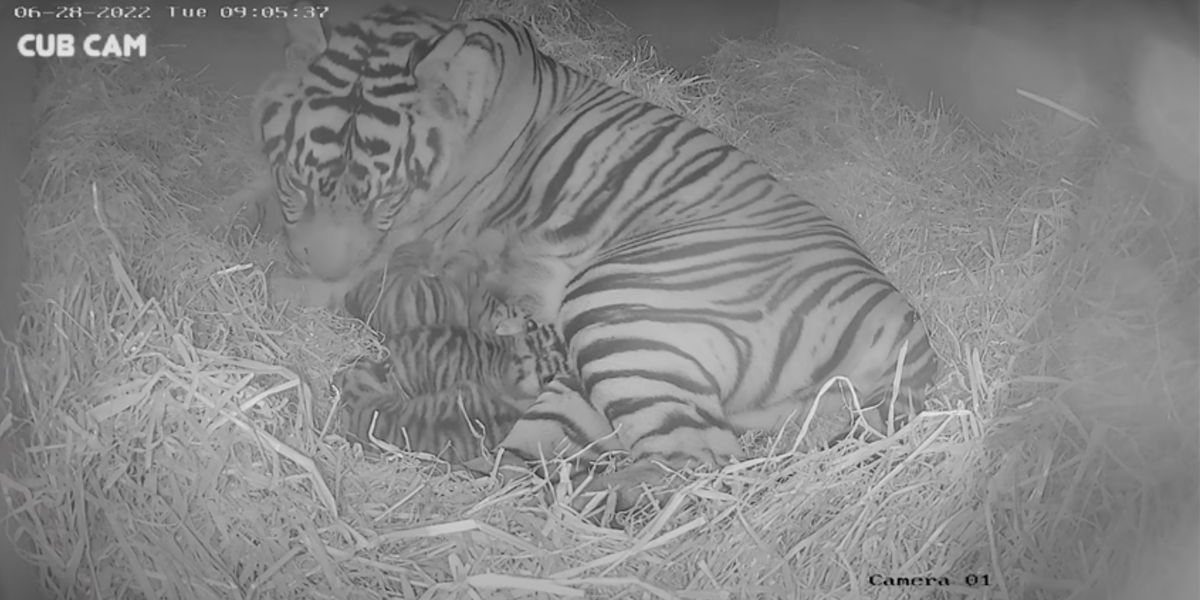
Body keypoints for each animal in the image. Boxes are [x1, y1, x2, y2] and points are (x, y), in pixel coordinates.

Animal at [258, 2, 940, 504]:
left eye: (384, 197)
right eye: (294, 180)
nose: (314, 257)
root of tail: (908, 330)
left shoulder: (404, 247)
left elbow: (349, 281)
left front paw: (275, 278)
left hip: (620, 303)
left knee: (699, 462)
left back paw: (579, 503)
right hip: (597, 385)